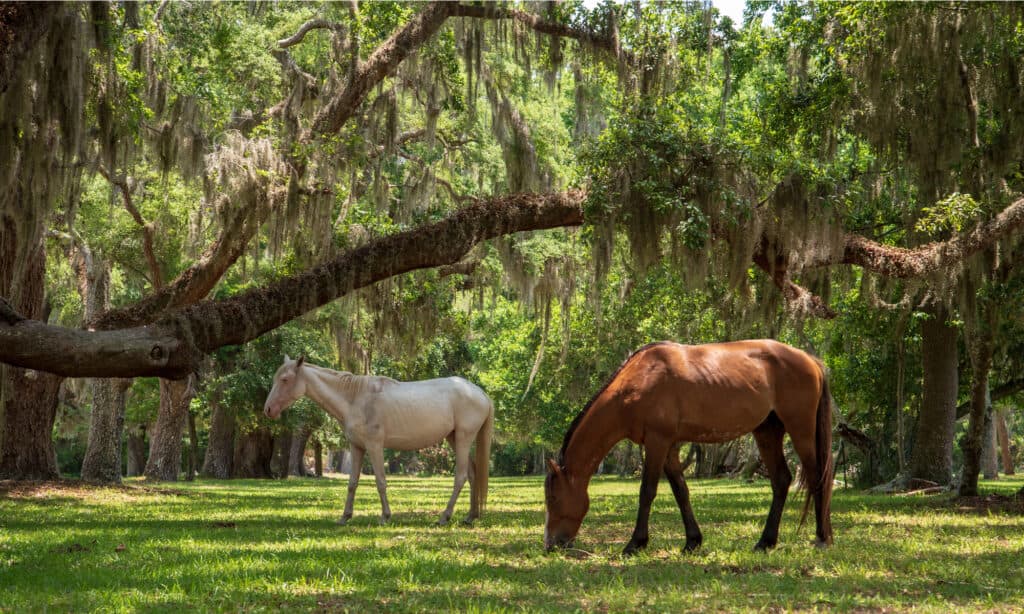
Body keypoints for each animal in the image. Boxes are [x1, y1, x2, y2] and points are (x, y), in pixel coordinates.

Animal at [264, 358, 495, 523]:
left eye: (285, 379)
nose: (268, 410)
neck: (355, 398)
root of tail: (480, 393)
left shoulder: (374, 446)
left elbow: (380, 481)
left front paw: (385, 516)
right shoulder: (357, 447)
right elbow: (352, 483)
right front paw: (345, 517)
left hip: (463, 438)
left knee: (461, 477)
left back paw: (445, 517)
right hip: (453, 438)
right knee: (472, 475)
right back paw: (470, 516)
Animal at [544, 339, 831, 556]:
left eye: (554, 498)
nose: (551, 545)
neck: (639, 381)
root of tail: (810, 360)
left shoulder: (657, 442)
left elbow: (647, 491)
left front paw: (635, 544)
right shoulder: (668, 447)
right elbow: (681, 492)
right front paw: (692, 541)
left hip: (800, 429)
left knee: (816, 476)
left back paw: (821, 537)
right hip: (767, 432)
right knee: (781, 480)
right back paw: (765, 542)